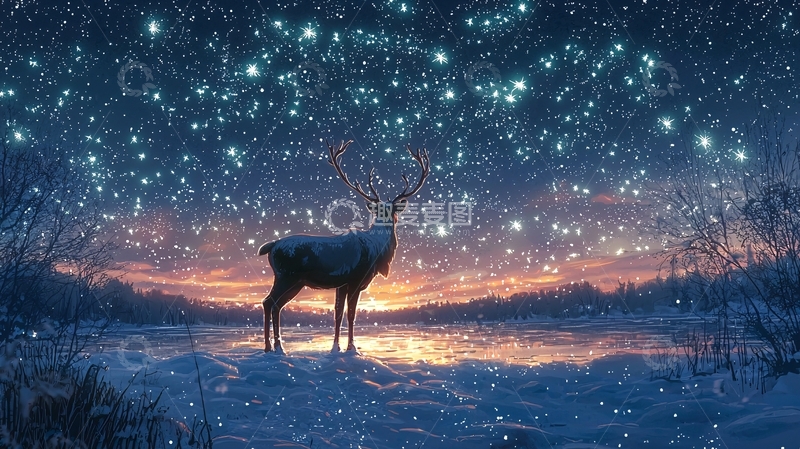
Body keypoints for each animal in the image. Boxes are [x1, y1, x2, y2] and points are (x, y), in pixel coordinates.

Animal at [257, 139, 430, 355]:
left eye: (390, 209)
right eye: (380, 209)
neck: (377, 250)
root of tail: (271, 246)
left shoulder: (341, 283)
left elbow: (338, 314)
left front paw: (335, 347)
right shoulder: (356, 279)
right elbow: (351, 314)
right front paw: (352, 348)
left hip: (295, 282)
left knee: (275, 305)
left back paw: (276, 347)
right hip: (286, 276)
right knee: (268, 302)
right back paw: (271, 347)